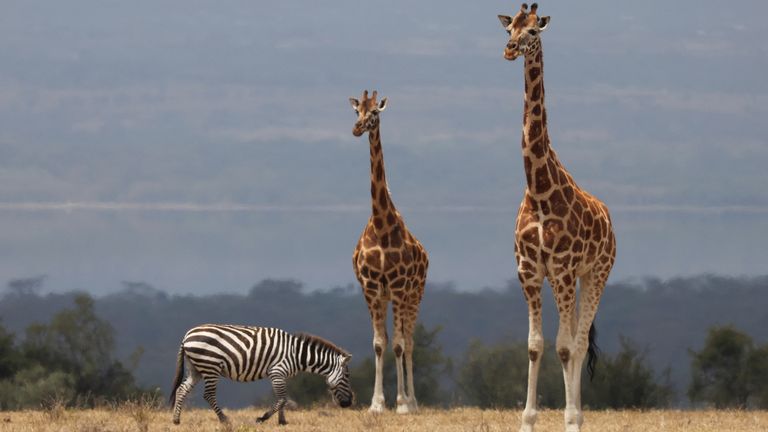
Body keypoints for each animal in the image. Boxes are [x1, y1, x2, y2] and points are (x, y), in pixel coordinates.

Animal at [170, 324, 354, 425]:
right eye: (347, 376)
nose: (349, 403)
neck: (297, 355)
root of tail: (187, 336)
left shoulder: (281, 375)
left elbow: (282, 399)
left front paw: (282, 422)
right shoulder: (277, 371)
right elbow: (282, 399)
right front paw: (262, 418)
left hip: (196, 368)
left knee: (182, 390)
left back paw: (176, 420)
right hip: (210, 366)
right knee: (208, 395)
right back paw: (224, 420)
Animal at [498, 4, 616, 432]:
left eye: (533, 30)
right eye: (510, 29)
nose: (510, 49)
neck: (538, 192)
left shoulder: (563, 269)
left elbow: (566, 347)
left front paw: (569, 419)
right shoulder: (530, 271)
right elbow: (536, 346)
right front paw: (527, 420)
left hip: (596, 273)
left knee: (578, 343)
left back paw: (577, 415)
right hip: (571, 279)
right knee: (574, 339)